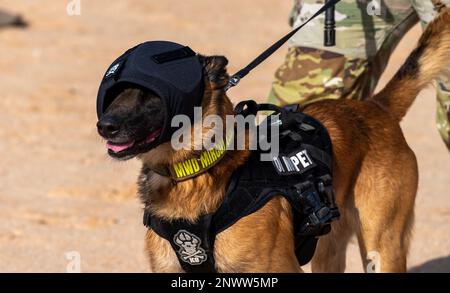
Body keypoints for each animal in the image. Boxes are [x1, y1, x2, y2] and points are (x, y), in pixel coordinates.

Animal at [96, 7, 450, 272]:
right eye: (113, 94)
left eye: (148, 95)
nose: (104, 126)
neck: (198, 170)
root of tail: (375, 107)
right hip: (329, 249)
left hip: (383, 246)